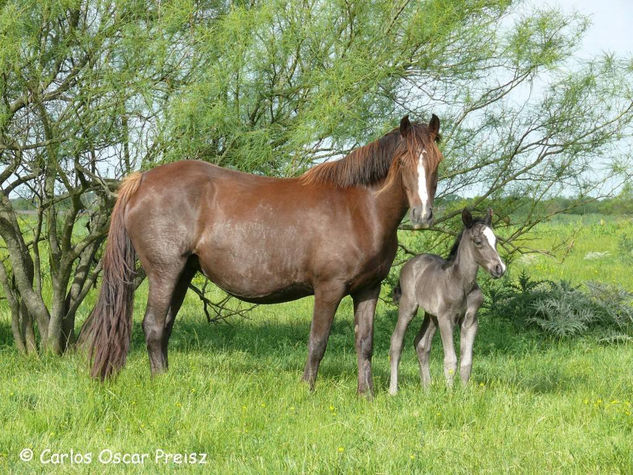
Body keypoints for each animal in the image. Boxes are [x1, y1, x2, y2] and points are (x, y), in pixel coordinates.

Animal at [82, 114, 440, 394]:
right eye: (404, 162)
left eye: (437, 162)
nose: (423, 215)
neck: (359, 209)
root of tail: (140, 181)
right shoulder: (329, 288)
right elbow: (318, 342)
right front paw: (306, 390)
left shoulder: (368, 289)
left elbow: (364, 343)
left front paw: (366, 395)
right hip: (164, 272)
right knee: (153, 326)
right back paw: (162, 383)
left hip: (182, 274)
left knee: (165, 327)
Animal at [388, 208, 506, 394]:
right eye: (478, 241)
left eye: (496, 241)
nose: (499, 268)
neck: (461, 283)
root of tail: (410, 263)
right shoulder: (446, 318)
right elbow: (451, 360)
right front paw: (450, 394)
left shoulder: (470, 321)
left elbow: (466, 362)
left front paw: (464, 394)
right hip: (409, 307)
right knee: (396, 343)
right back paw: (393, 390)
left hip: (431, 316)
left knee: (421, 344)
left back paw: (427, 389)